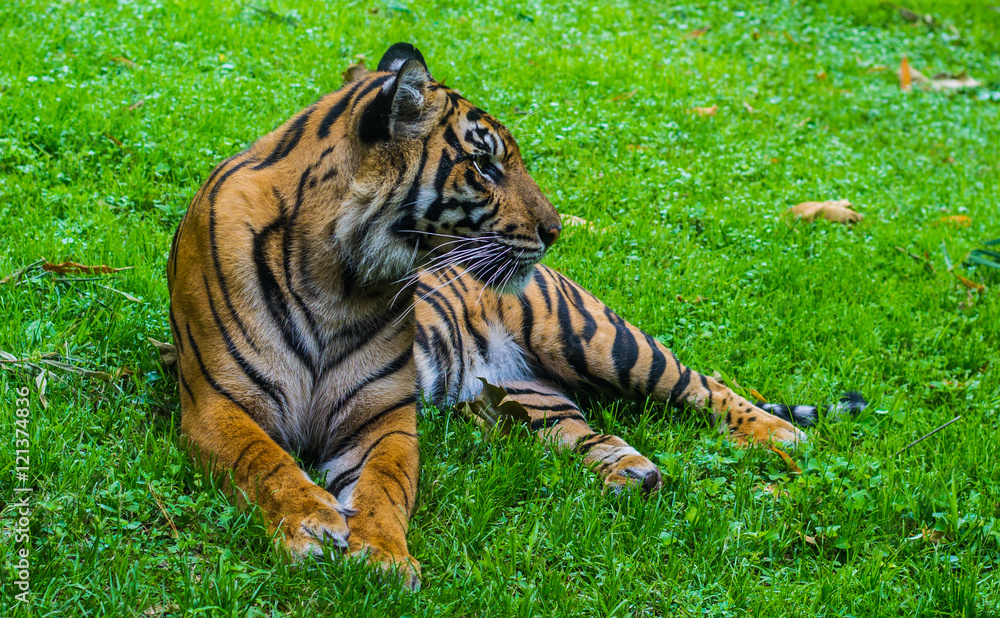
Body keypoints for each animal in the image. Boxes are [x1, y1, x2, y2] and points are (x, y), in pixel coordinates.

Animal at [167, 42, 862, 590]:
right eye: (484, 164)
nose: (556, 231)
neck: (338, 274)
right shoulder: (216, 404)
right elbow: (265, 461)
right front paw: (311, 523)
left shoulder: (382, 420)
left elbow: (385, 488)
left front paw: (384, 556)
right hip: (530, 399)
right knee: (586, 429)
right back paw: (629, 472)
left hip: (602, 339)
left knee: (705, 385)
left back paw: (779, 436)